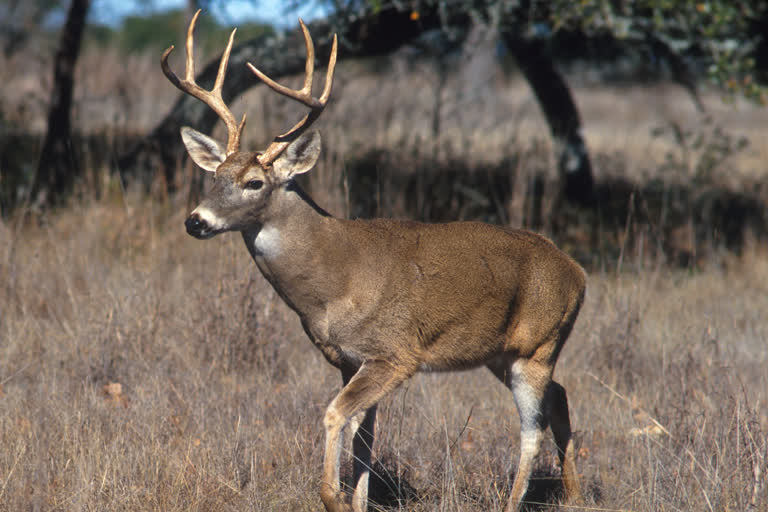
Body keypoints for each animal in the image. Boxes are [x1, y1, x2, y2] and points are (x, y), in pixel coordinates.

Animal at [160, 11, 584, 512]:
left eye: (254, 182)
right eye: (215, 177)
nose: (196, 221)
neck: (333, 280)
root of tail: (578, 273)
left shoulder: (395, 353)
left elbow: (334, 414)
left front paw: (334, 497)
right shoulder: (348, 359)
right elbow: (364, 437)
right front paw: (356, 500)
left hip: (538, 345)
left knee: (532, 429)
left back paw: (515, 501)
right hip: (502, 353)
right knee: (560, 398)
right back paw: (574, 494)